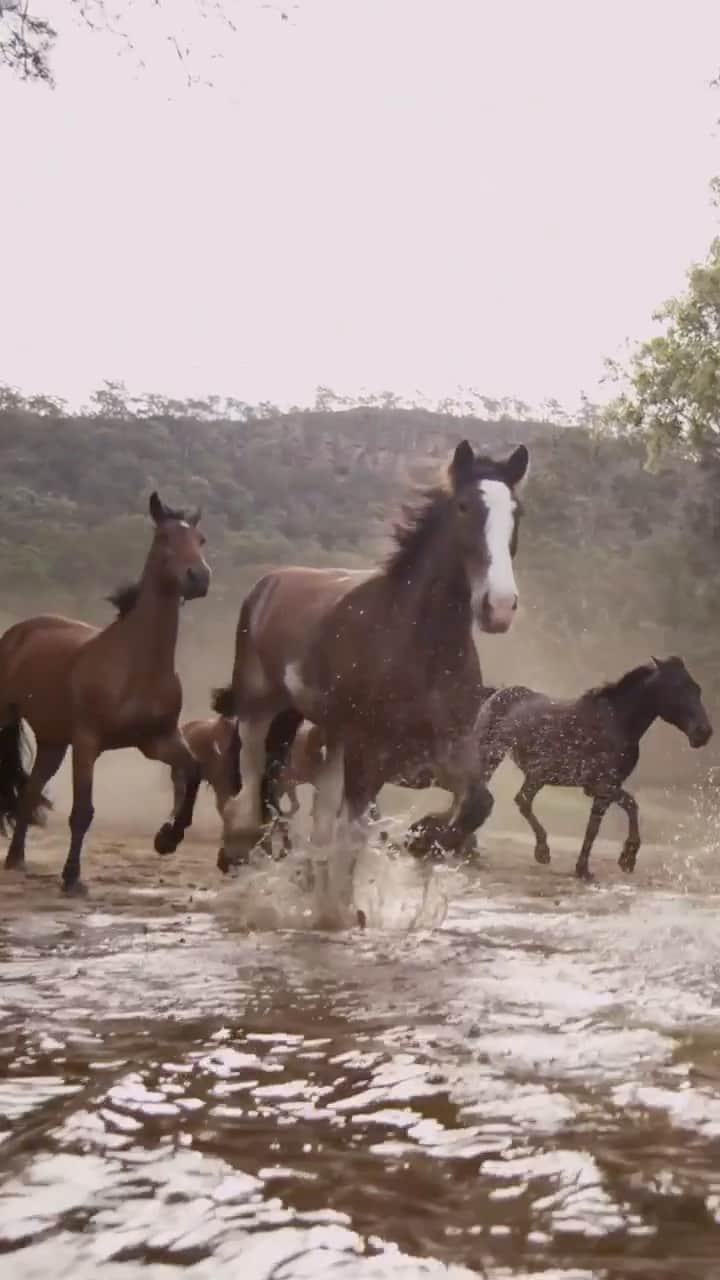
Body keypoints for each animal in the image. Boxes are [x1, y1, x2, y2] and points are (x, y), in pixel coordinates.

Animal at [0, 494, 207, 896]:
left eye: (200, 539)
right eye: (164, 537)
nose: (199, 578)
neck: (136, 666)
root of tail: (18, 632)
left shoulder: (158, 740)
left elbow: (192, 771)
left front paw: (168, 837)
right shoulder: (87, 742)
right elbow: (83, 812)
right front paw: (72, 879)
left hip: (52, 741)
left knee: (30, 790)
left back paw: (16, 859)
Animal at [212, 442, 527, 870]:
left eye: (517, 511)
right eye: (464, 506)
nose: (500, 607)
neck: (420, 648)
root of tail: (268, 583)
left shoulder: (449, 746)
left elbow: (478, 803)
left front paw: (423, 836)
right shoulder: (370, 753)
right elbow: (354, 834)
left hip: (330, 734)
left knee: (317, 815)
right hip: (259, 712)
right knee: (253, 786)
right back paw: (239, 849)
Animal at [468, 660, 707, 880]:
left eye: (697, 688)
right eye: (677, 688)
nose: (704, 732)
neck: (618, 722)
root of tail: (496, 693)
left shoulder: (605, 789)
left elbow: (606, 820)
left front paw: (595, 866)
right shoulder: (602, 785)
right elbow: (620, 812)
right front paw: (619, 860)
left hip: (535, 774)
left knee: (521, 800)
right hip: (493, 757)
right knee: (499, 796)